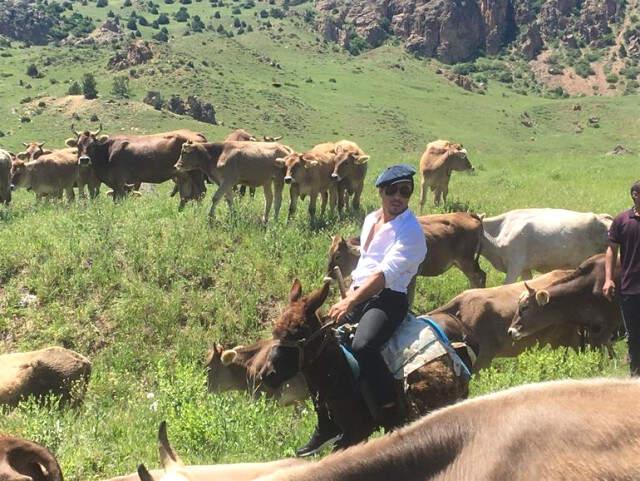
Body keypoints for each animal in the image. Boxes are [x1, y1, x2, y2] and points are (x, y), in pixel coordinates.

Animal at [330, 212, 484, 302]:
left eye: (338, 256)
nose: (328, 276)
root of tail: (468, 214)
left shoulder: (411, 276)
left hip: (466, 261)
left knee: (479, 276)